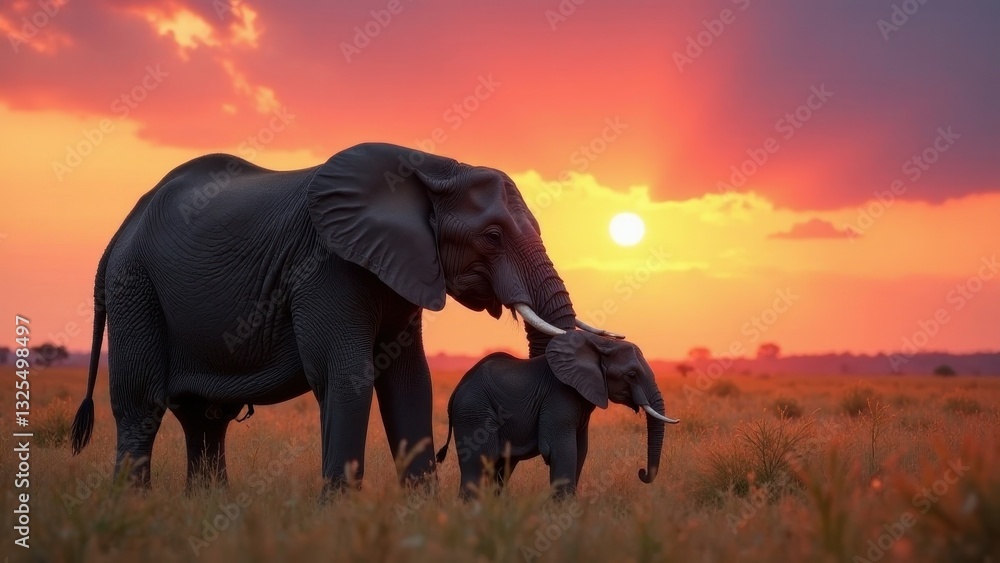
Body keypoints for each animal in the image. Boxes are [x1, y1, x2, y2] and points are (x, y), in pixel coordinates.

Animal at [68, 142, 622, 493]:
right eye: (491, 236)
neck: (434, 166)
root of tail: (119, 233)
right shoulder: (327, 265)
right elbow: (348, 375)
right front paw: (337, 517)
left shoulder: (402, 267)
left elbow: (410, 382)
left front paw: (423, 516)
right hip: (136, 288)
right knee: (142, 405)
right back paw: (134, 507)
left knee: (205, 417)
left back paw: (206, 506)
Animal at [435, 330, 679, 499]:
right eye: (632, 375)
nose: (641, 472)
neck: (599, 344)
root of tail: (456, 391)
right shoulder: (558, 397)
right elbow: (563, 450)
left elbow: (580, 450)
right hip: (473, 412)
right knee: (480, 464)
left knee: (500, 467)